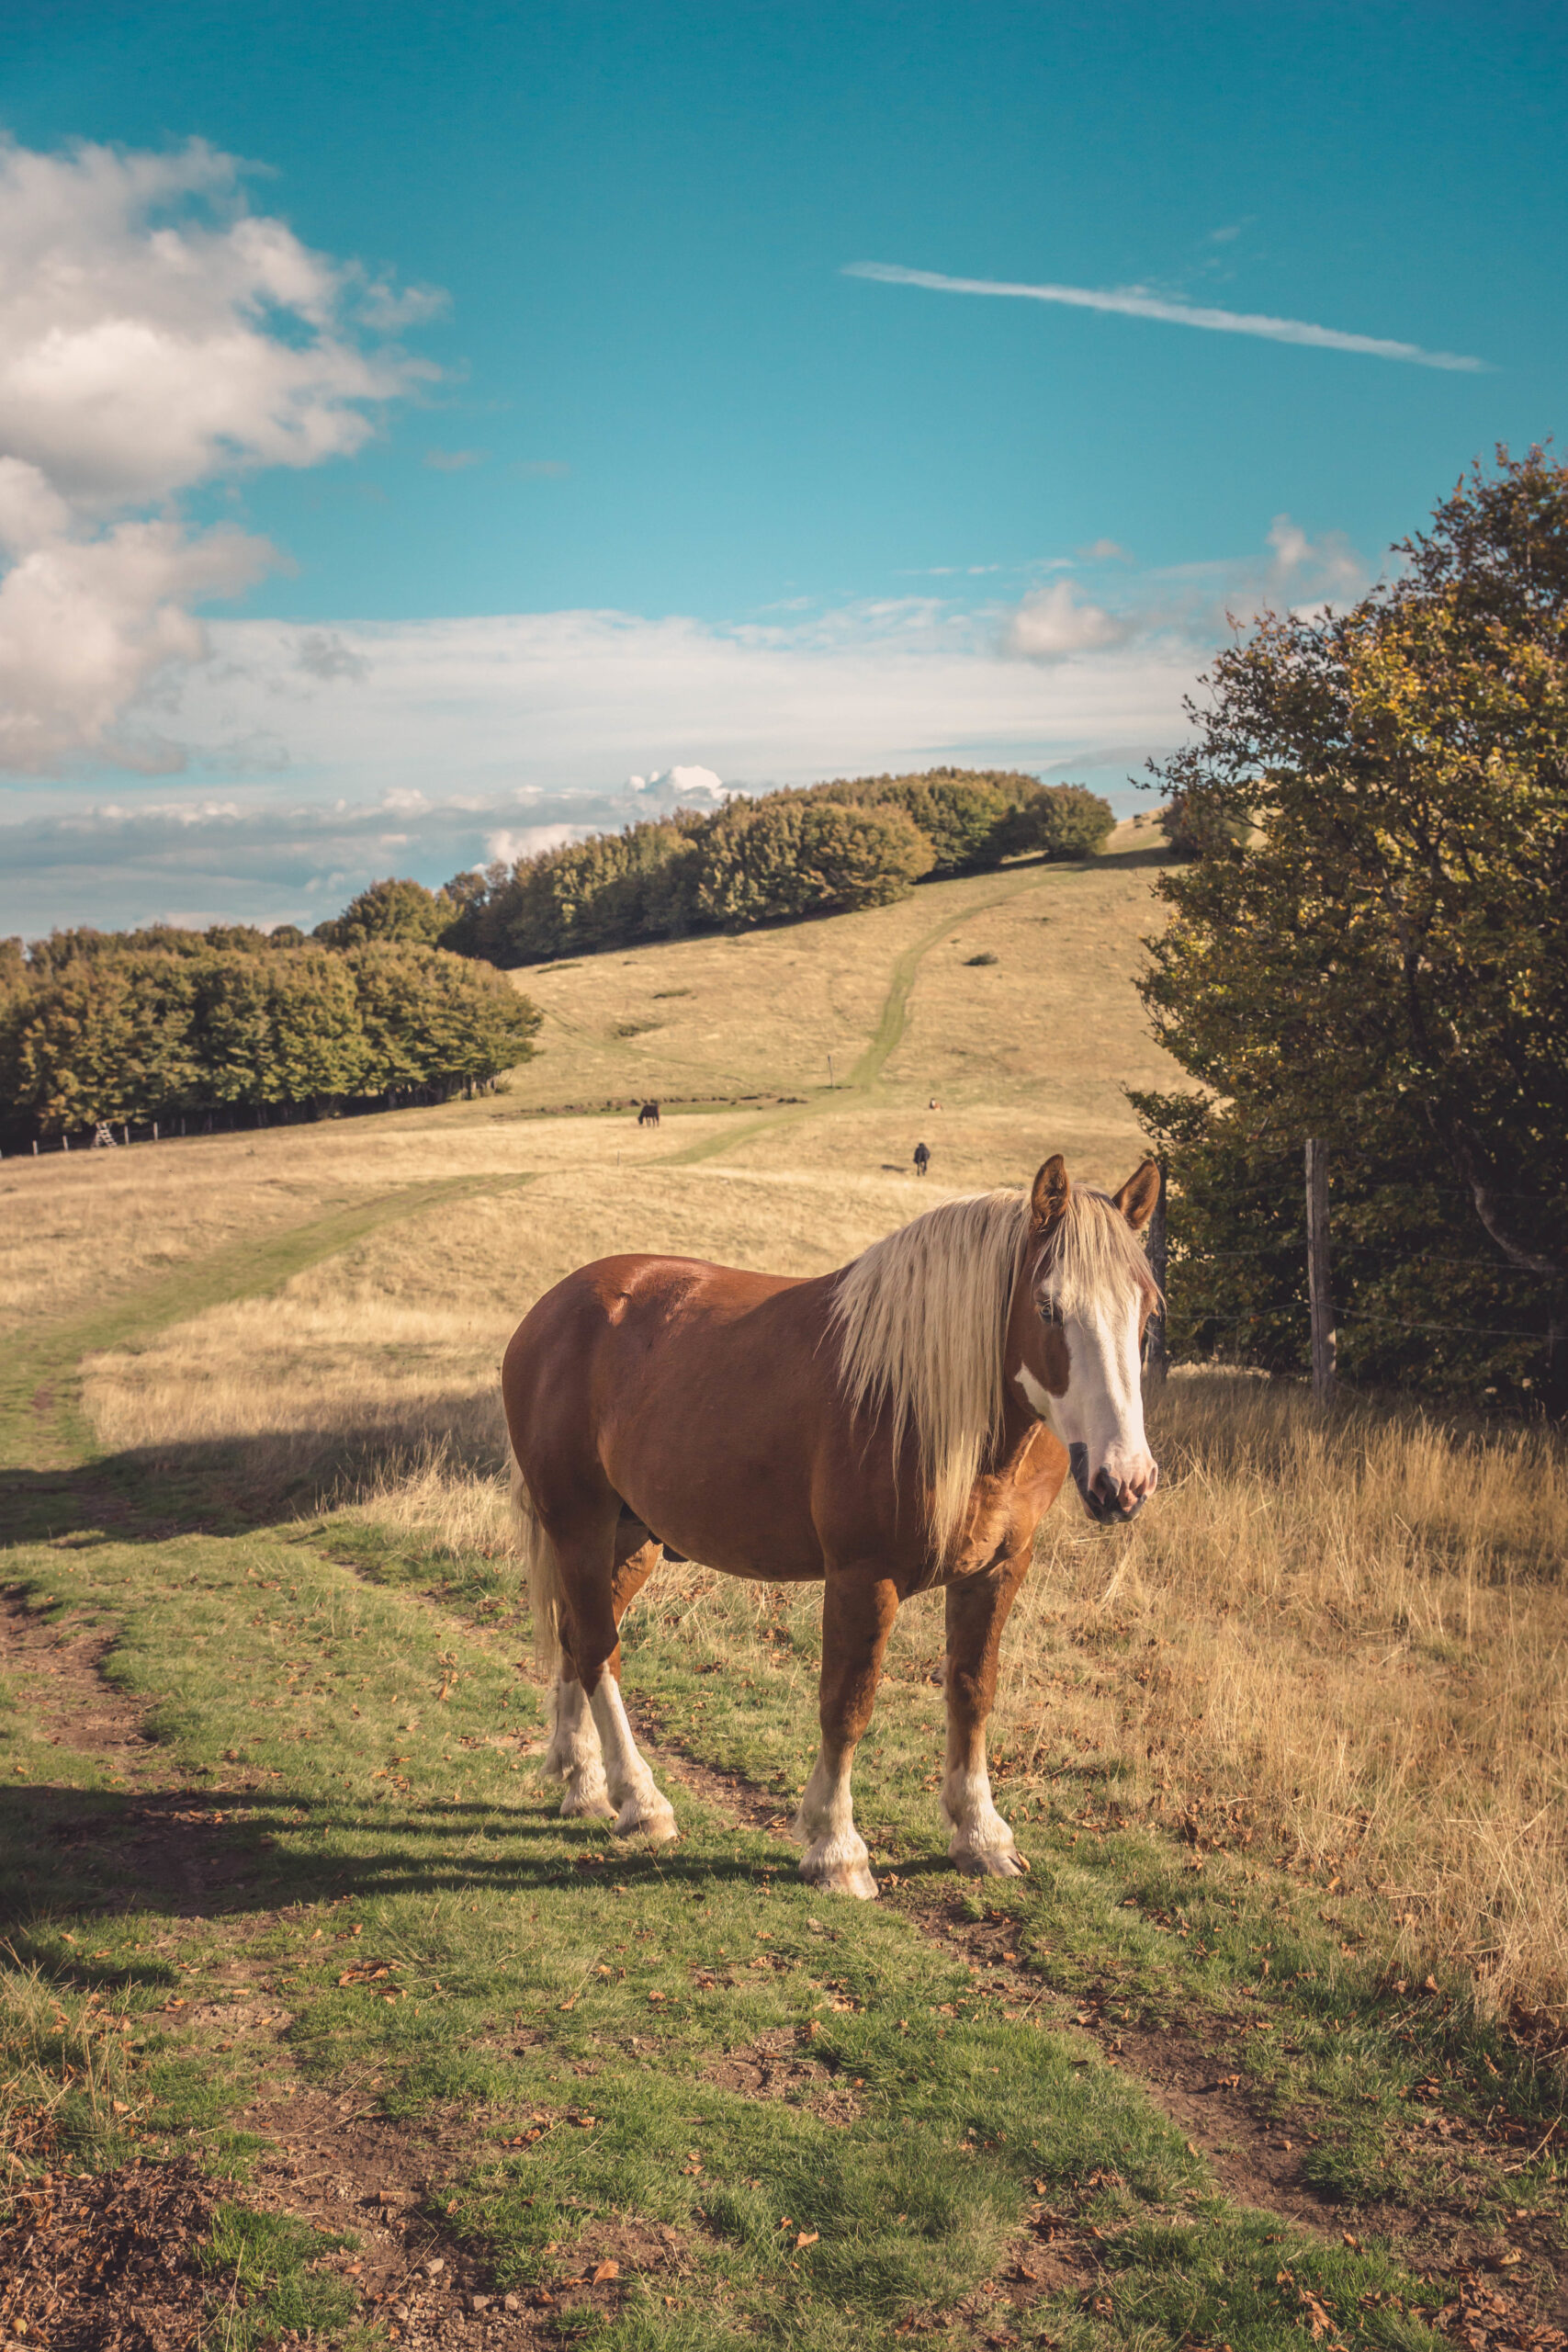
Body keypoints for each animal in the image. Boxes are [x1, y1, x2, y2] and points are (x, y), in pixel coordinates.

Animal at [502, 1152, 1166, 1891]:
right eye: (1049, 1307)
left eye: (1147, 1311)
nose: (1124, 1481)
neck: (922, 1398)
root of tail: (554, 1307)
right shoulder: (861, 1578)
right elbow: (847, 1704)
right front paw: (836, 1848)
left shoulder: (996, 1571)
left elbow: (972, 1693)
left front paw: (980, 1834)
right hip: (579, 1527)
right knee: (597, 1648)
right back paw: (640, 1801)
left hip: (629, 1539)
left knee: (576, 1638)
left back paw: (584, 1782)